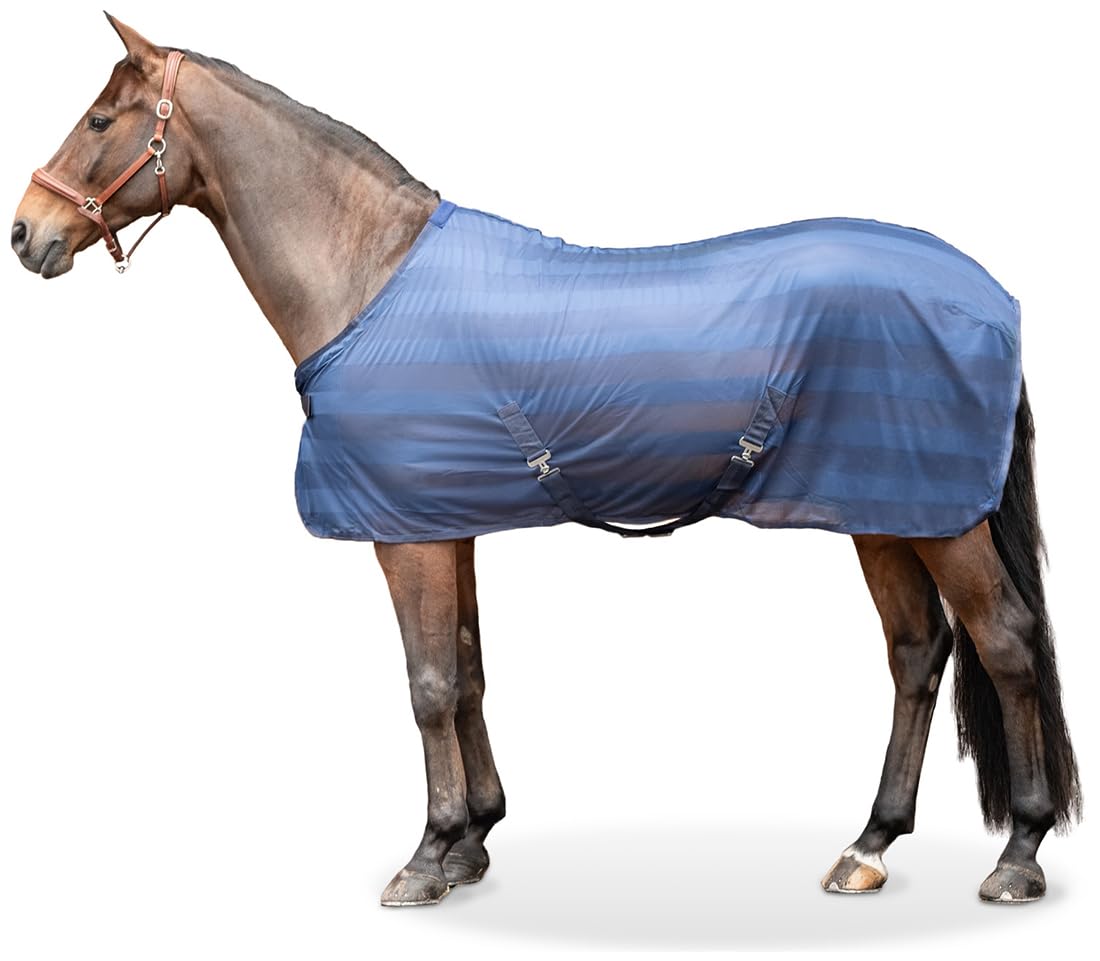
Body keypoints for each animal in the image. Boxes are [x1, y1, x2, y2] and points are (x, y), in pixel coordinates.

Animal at [11, 15, 1080, 906]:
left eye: (100, 118)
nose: (26, 233)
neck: (369, 277)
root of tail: (990, 296)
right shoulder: (443, 524)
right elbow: (468, 670)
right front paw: (473, 839)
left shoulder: (404, 537)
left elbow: (427, 684)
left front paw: (427, 856)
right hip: (883, 511)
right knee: (918, 651)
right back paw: (869, 845)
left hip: (941, 519)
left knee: (1005, 641)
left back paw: (1018, 854)